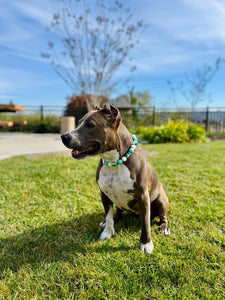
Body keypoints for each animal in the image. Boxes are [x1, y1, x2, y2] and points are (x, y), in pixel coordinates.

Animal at [60, 105, 170, 253]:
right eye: (79, 122)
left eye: (90, 125)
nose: (64, 136)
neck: (115, 161)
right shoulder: (104, 194)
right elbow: (108, 216)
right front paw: (107, 232)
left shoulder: (143, 196)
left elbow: (146, 223)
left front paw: (146, 243)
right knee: (117, 211)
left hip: (161, 200)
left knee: (163, 216)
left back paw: (163, 227)